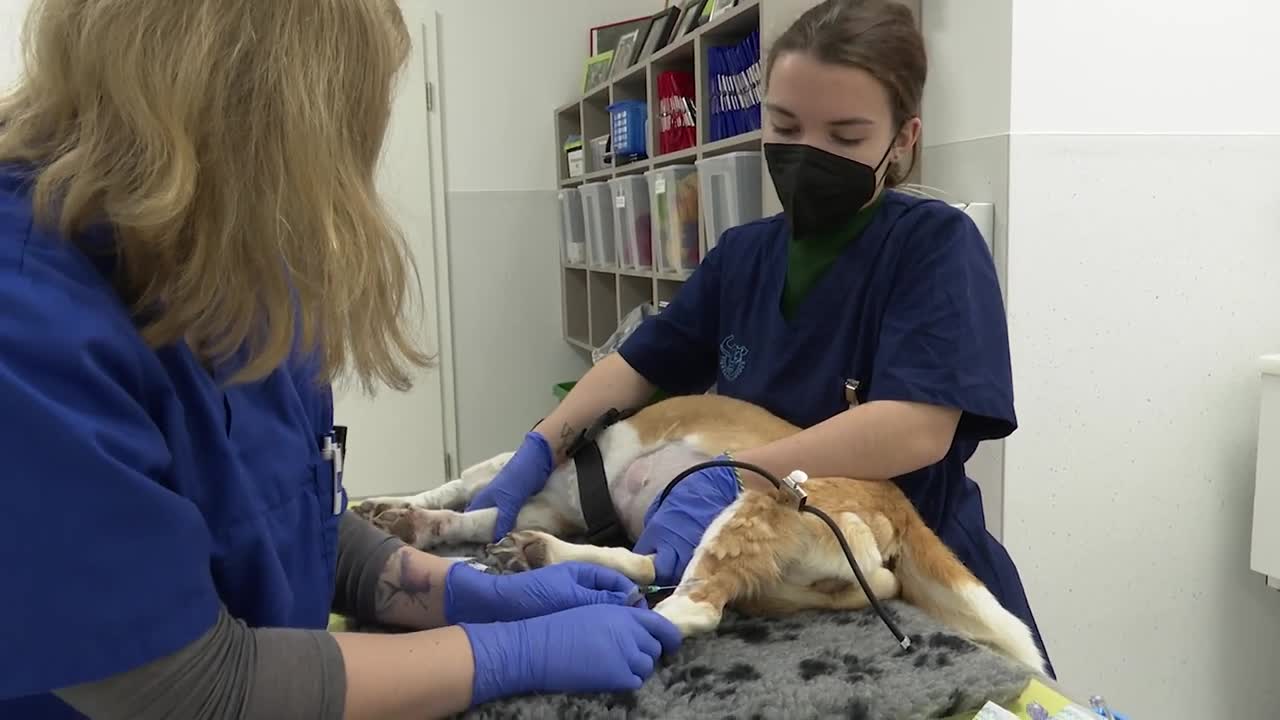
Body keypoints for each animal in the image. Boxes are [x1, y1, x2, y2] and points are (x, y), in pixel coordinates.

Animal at [345, 392, 1044, 671]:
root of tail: (895, 501)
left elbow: (467, 485)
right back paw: (544, 559)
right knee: (656, 566)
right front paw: (409, 518)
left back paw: (574, 610)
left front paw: (400, 507)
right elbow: (474, 510)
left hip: (755, 496)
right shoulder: (537, 500)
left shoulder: (524, 472)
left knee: (685, 598)